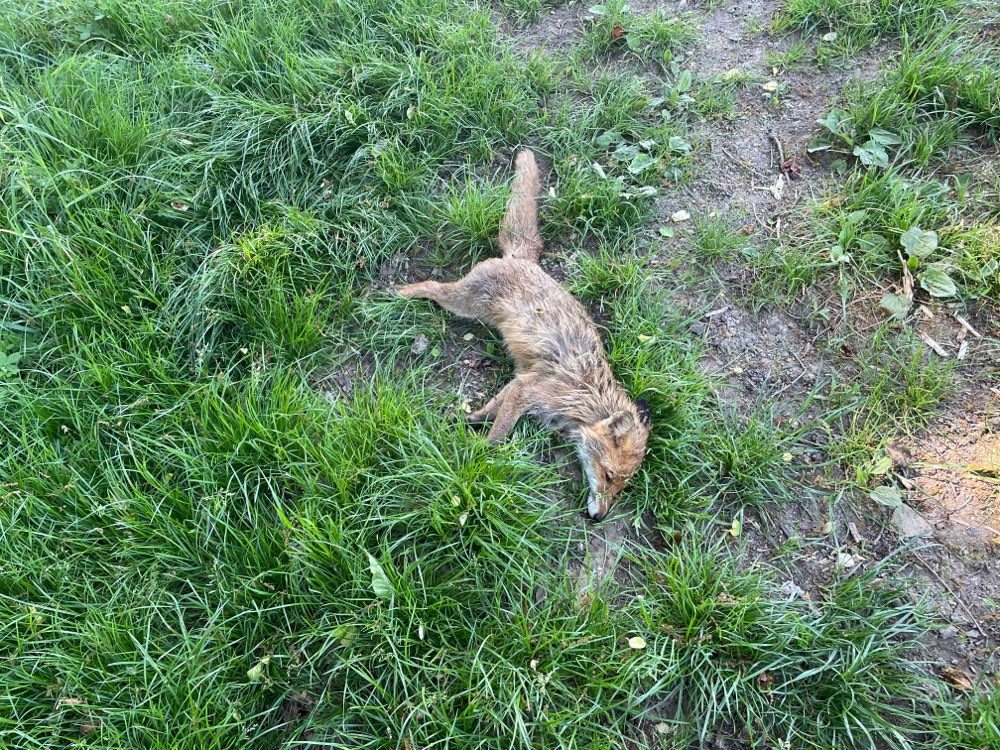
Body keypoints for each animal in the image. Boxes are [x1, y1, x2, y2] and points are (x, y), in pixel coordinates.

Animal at [396, 149, 651, 520]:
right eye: (607, 475)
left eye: (622, 486)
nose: (599, 517)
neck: (584, 398)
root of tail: (524, 259)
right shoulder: (531, 391)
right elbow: (500, 432)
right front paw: (481, 449)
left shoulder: (521, 384)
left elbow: (492, 408)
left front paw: (470, 420)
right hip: (463, 303)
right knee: (431, 286)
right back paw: (400, 292)